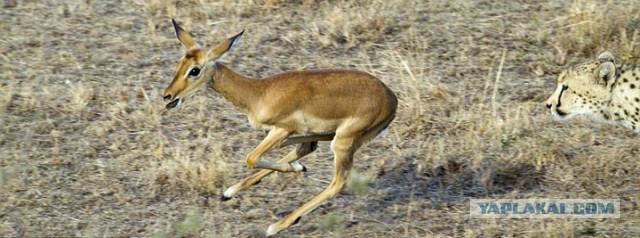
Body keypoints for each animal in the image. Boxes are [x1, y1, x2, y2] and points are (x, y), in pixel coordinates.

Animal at [162, 19, 398, 235]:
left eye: (195, 70)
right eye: (179, 64)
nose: (168, 96)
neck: (258, 93)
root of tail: (391, 99)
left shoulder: (281, 129)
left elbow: (251, 158)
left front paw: (294, 169)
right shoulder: (282, 132)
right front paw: (230, 191)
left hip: (342, 143)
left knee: (338, 181)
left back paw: (276, 226)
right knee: (308, 148)